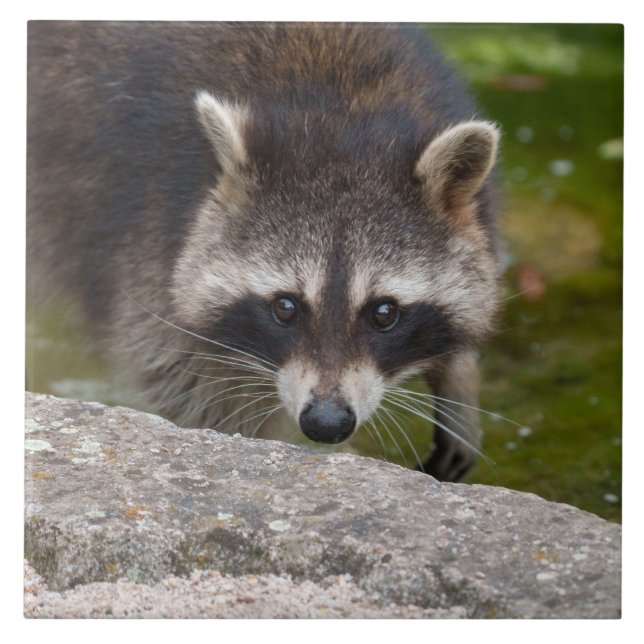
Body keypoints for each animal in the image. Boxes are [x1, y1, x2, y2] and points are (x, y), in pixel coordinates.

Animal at [27, 22, 500, 481]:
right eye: (285, 307)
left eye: (384, 313)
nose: (326, 423)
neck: (342, 114)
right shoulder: (147, 242)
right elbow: (197, 393)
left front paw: (458, 375)